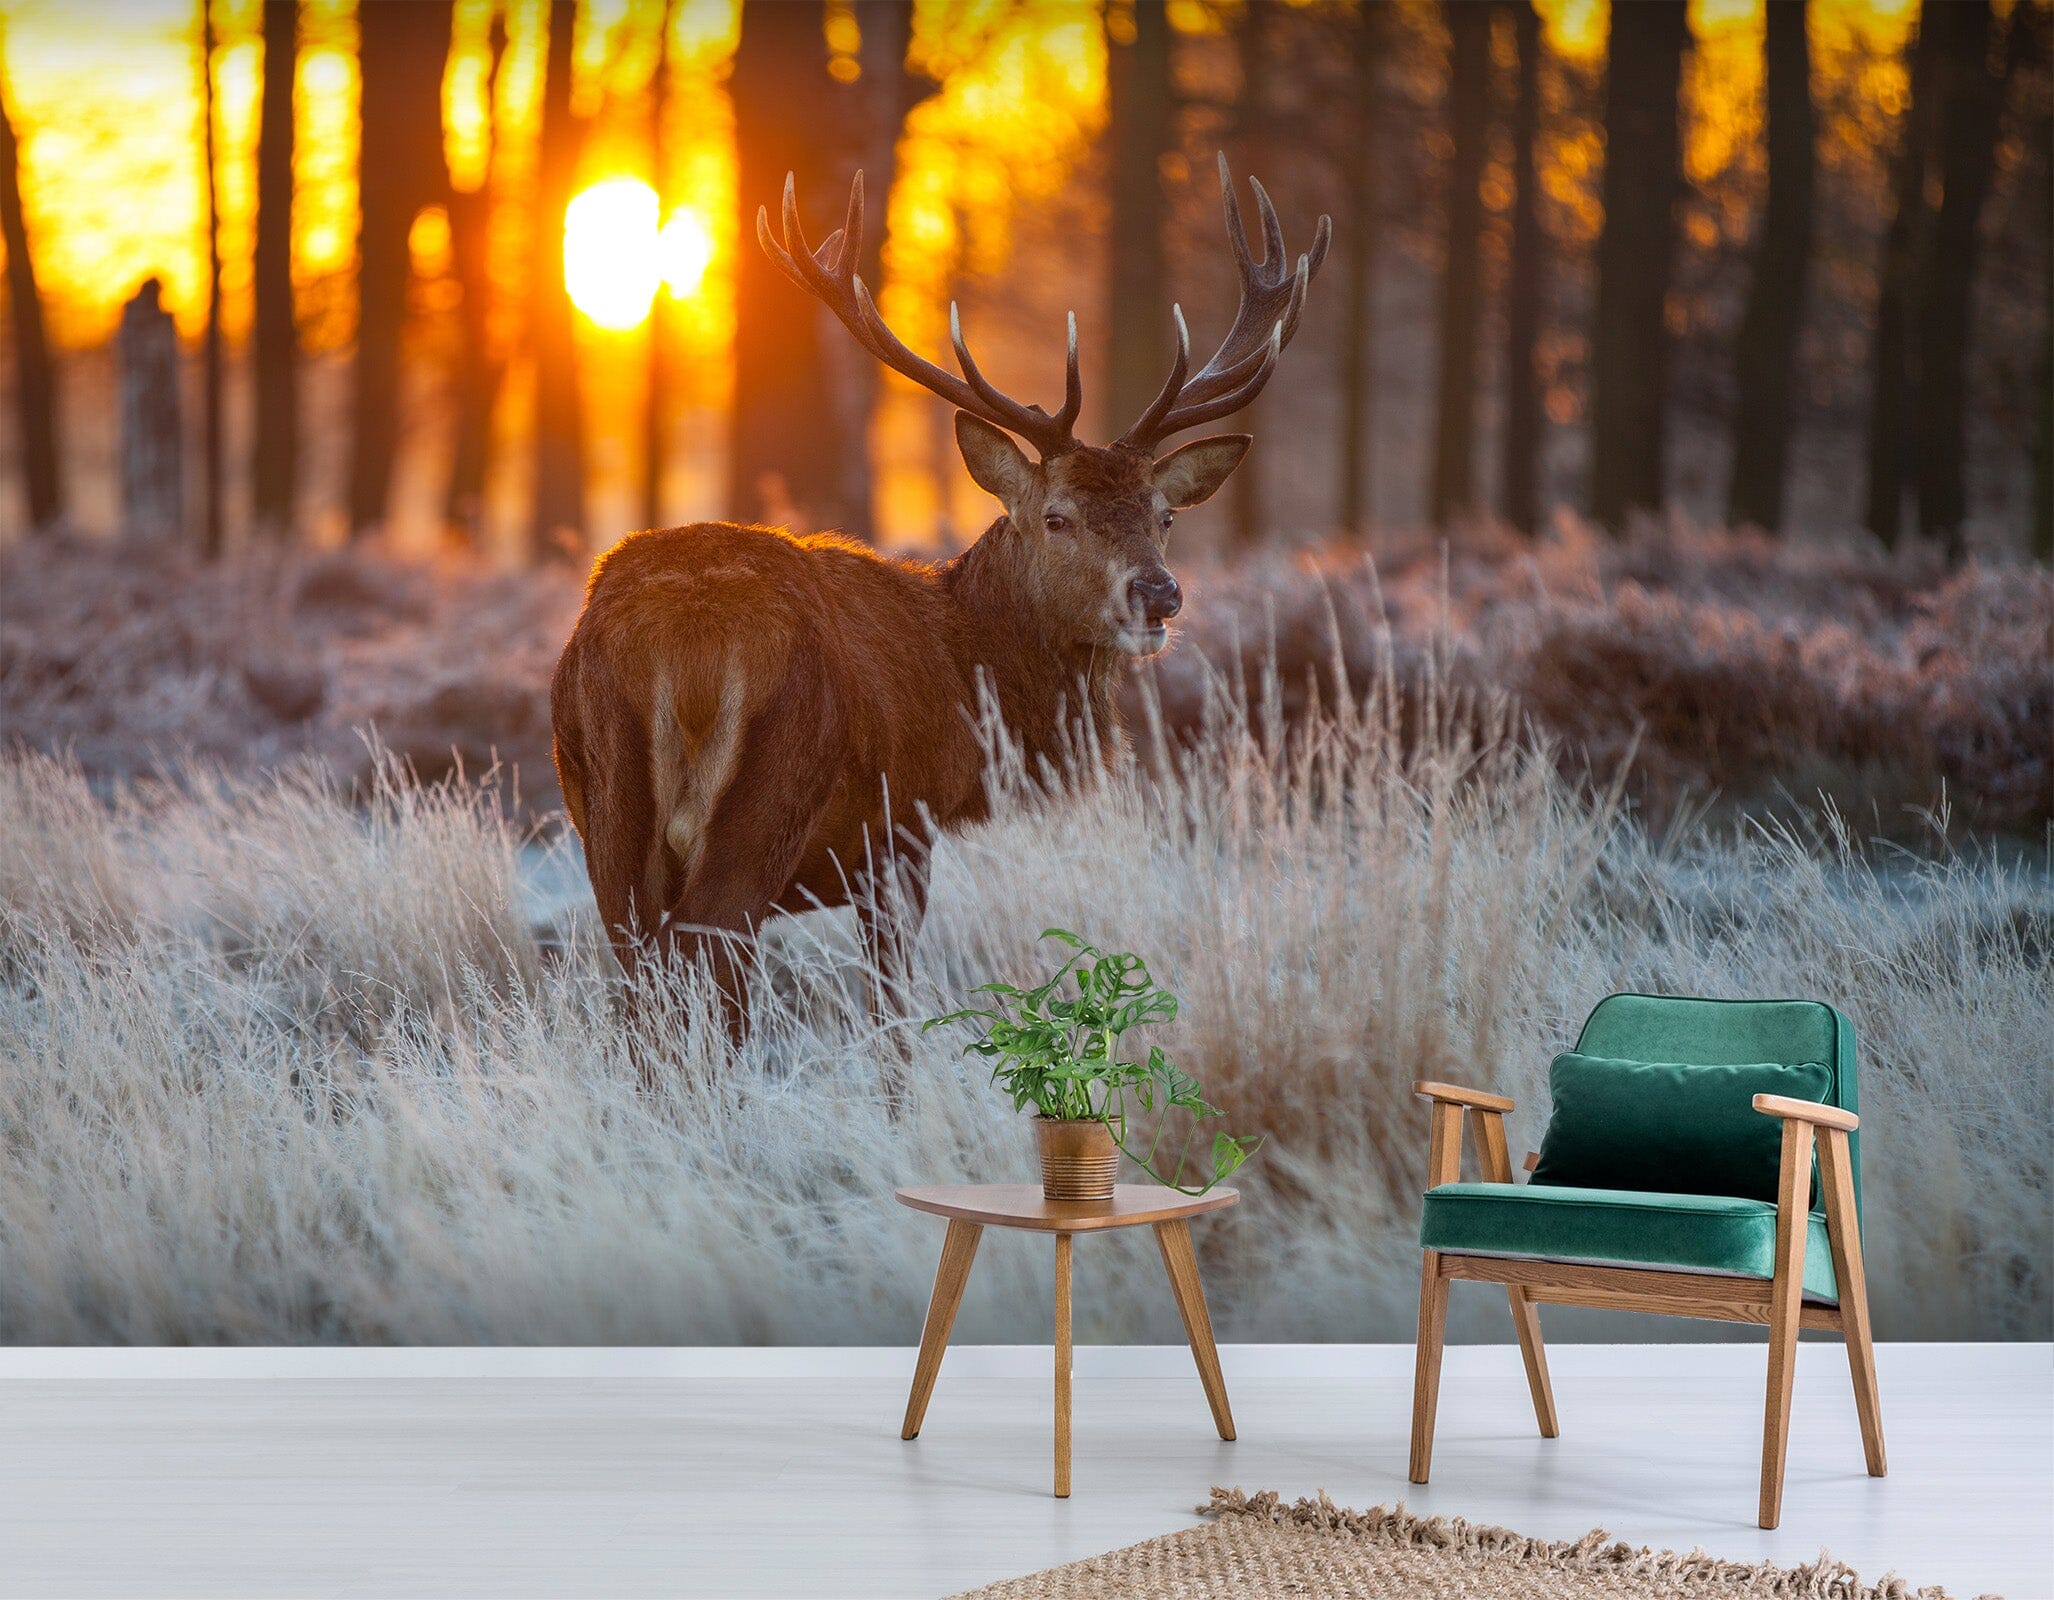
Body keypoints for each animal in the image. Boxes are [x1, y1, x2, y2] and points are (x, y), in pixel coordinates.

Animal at [550, 154, 1329, 1031]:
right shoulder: (903, 831)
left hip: (604, 805)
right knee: (711, 967)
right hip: (771, 791)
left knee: (636, 984)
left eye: (1164, 515)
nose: (1159, 596)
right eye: (1057, 517)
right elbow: (892, 1010)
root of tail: (682, 642)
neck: (966, 674)